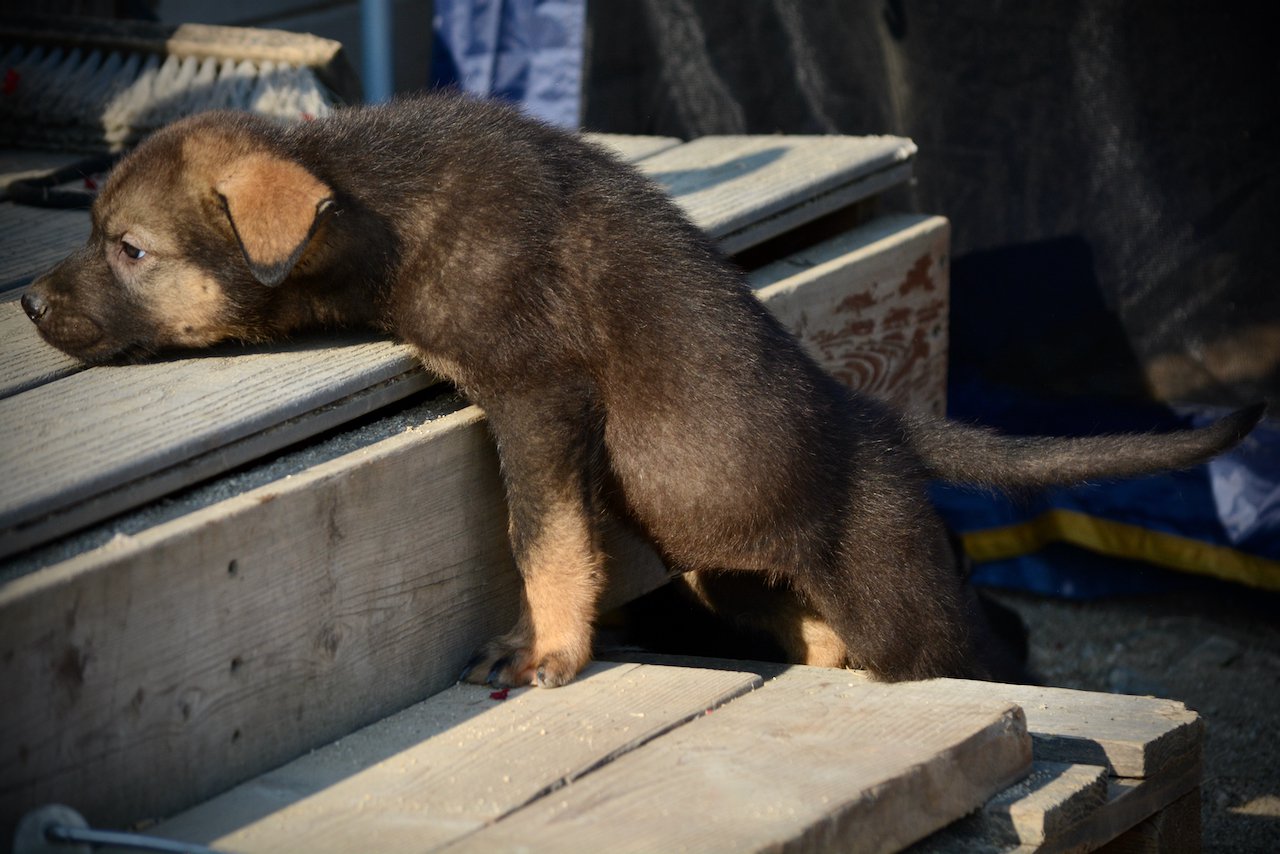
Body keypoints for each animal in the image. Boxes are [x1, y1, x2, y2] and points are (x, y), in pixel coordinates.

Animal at [20, 93, 1259, 686]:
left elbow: (545, 540)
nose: (27, 304)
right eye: (93, 229)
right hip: (726, 569)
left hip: (894, 595)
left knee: (977, 641)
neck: (379, 199)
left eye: (129, 250)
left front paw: (547, 651)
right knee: (835, 637)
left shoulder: (538, 401)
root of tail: (878, 418)